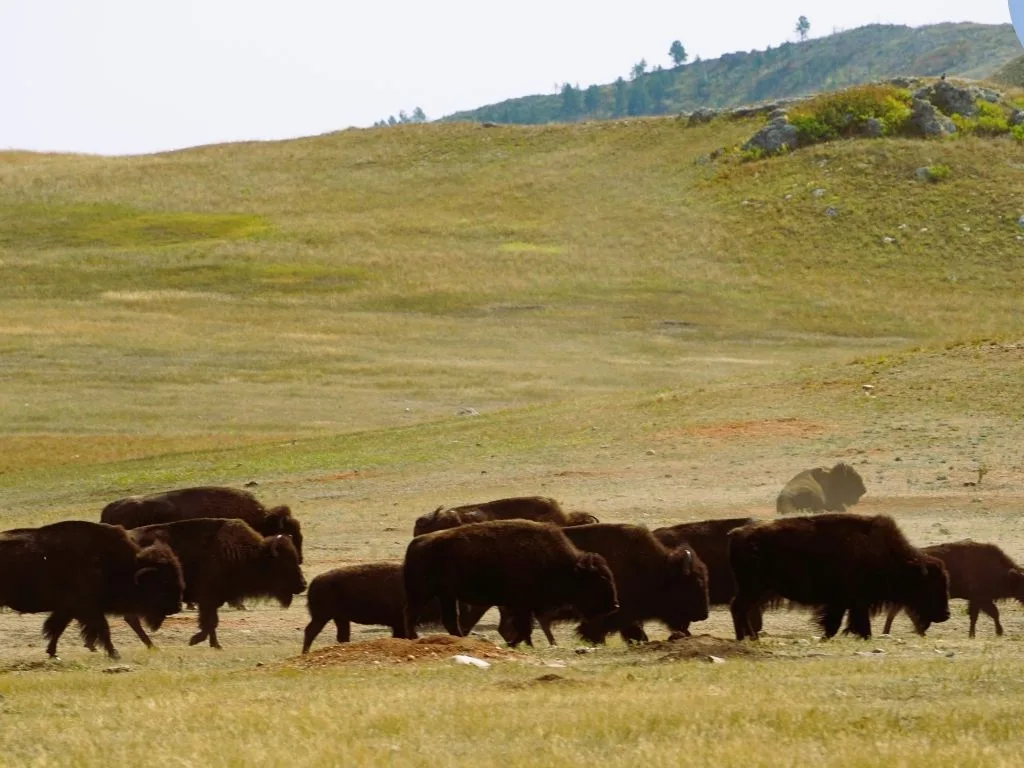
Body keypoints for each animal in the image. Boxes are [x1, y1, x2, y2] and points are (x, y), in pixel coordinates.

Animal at [0, 521, 184, 659]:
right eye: (162, 584)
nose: (176, 607)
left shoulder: (69, 609)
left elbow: (57, 628)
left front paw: (52, 653)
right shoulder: (88, 608)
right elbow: (103, 629)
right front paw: (114, 654)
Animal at [402, 520, 618, 645]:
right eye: (599, 579)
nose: (614, 605)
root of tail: (416, 543)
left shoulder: (523, 607)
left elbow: (524, 628)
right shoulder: (520, 605)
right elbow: (523, 627)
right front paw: (514, 644)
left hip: (445, 595)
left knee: (449, 620)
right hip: (423, 593)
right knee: (412, 615)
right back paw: (414, 638)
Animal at [729, 514, 949, 640]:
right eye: (931, 585)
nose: (946, 615)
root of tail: (736, 532)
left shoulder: (847, 602)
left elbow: (840, 623)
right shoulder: (853, 601)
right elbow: (848, 623)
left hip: (759, 589)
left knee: (741, 608)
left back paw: (748, 637)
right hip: (754, 588)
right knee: (738, 607)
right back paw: (746, 638)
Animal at [882, 540, 1024, 637]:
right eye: (1022, 584)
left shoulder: (977, 600)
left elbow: (977, 616)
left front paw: (973, 634)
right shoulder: (980, 598)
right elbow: (991, 613)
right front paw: (998, 632)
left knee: (895, 612)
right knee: (901, 613)